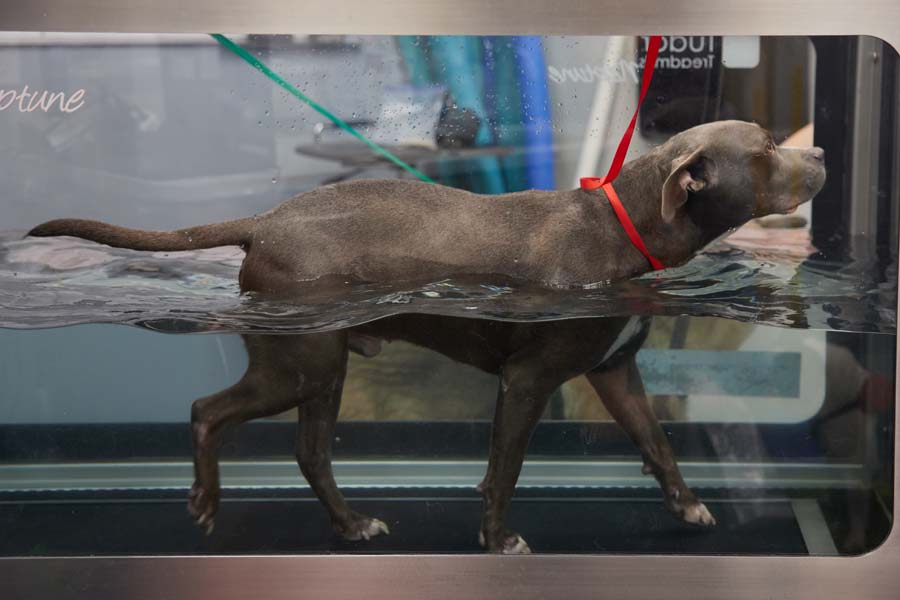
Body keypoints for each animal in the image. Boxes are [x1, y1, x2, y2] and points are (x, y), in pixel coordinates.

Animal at [28, 120, 828, 552]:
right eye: (764, 149)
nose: (820, 155)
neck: (622, 228)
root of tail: (264, 221)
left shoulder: (615, 374)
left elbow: (658, 446)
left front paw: (688, 505)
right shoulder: (528, 381)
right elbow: (503, 472)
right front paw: (498, 540)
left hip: (323, 370)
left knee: (310, 454)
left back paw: (352, 526)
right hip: (298, 363)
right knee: (206, 412)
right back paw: (205, 500)